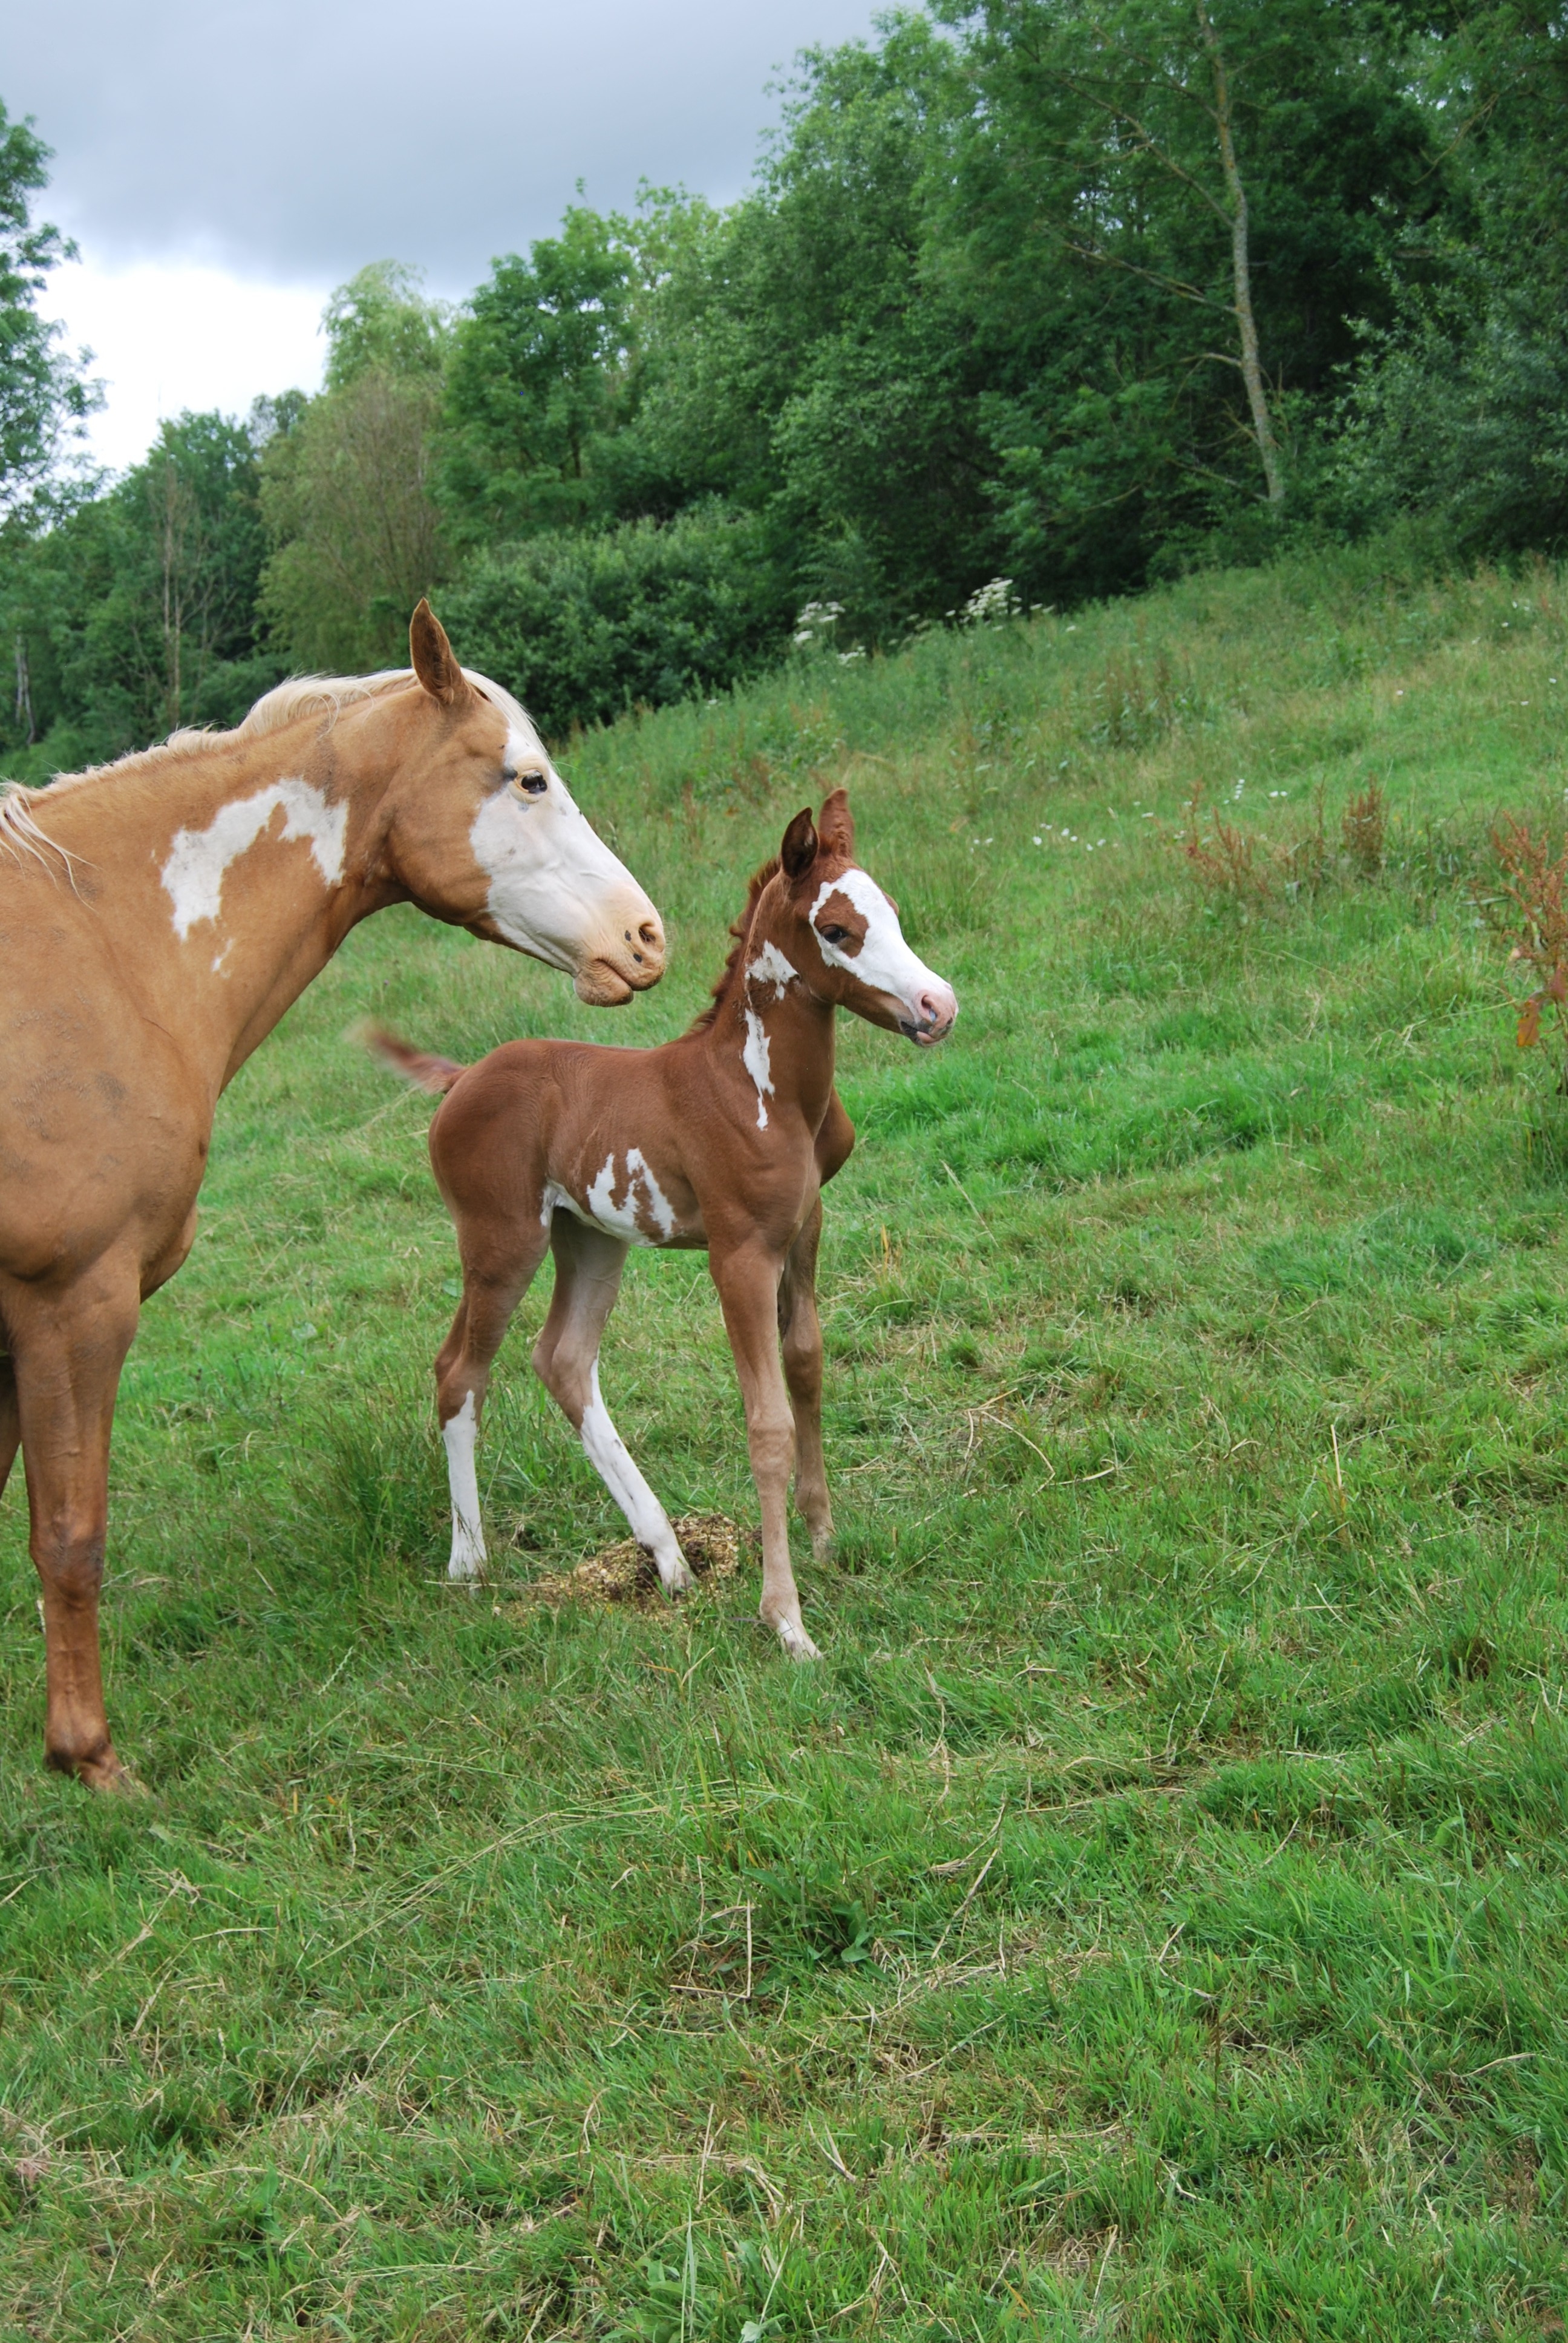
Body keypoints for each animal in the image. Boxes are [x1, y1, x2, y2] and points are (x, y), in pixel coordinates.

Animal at [0, 609, 665, 1790]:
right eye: (528, 778)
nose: (646, 937)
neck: (104, 951)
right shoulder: (71, 1303)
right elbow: (70, 1536)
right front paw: (90, 1758)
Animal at [368, 791, 956, 1668]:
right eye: (837, 930)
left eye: (889, 910)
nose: (937, 1007)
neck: (760, 1088)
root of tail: (461, 1078)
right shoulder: (740, 1255)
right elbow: (767, 1422)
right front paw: (786, 1620)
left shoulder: (805, 1228)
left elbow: (808, 1366)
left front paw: (823, 1539)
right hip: (502, 1240)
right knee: (459, 1371)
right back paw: (468, 1560)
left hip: (591, 1239)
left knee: (564, 1360)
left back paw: (670, 1557)